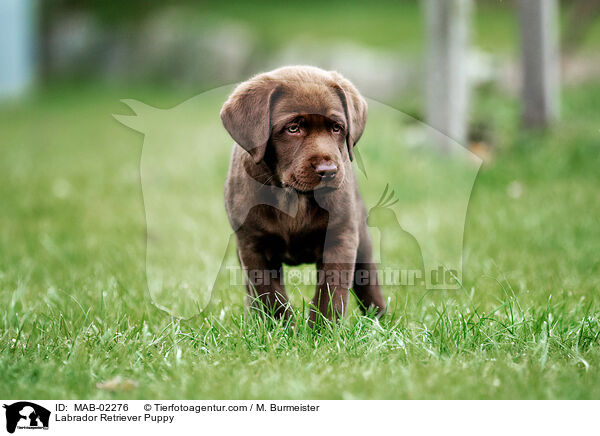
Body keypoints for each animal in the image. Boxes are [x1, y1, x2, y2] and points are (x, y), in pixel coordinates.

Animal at [220, 65, 384, 324]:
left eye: (336, 128)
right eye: (293, 128)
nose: (328, 171)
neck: (293, 196)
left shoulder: (340, 237)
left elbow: (331, 292)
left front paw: (323, 329)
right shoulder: (252, 244)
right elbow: (269, 293)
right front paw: (281, 327)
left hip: (362, 239)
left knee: (368, 281)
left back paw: (380, 321)